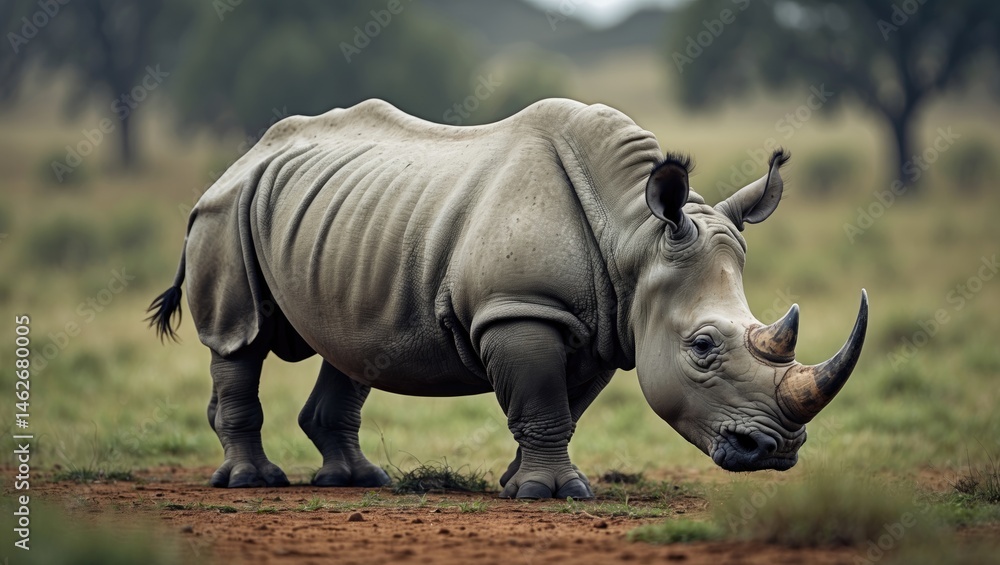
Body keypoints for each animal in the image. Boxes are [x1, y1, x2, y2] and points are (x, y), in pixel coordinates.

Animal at [148, 98, 867, 499]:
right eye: (703, 346)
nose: (776, 450)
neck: (632, 236)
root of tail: (241, 159)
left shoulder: (602, 326)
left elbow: (560, 407)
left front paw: (518, 485)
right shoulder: (521, 308)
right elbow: (543, 402)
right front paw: (553, 494)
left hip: (343, 228)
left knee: (349, 348)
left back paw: (359, 481)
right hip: (224, 213)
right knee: (238, 339)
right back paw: (253, 481)